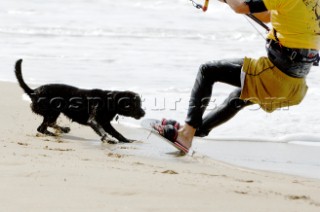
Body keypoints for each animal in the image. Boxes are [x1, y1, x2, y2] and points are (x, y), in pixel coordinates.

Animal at [14, 58, 145, 143]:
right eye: (132, 104)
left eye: (139, 103)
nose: (144, 113)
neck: (109, 100)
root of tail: (33, 91)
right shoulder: (94, 121)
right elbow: (103, 131)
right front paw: (108, 139)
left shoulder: (105, 123)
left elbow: (116, 132)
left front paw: (126, 140)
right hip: (53, 110)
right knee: (43, 127)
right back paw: (57, 131)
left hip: (53, 112)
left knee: (45, 126)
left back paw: (62, 129)